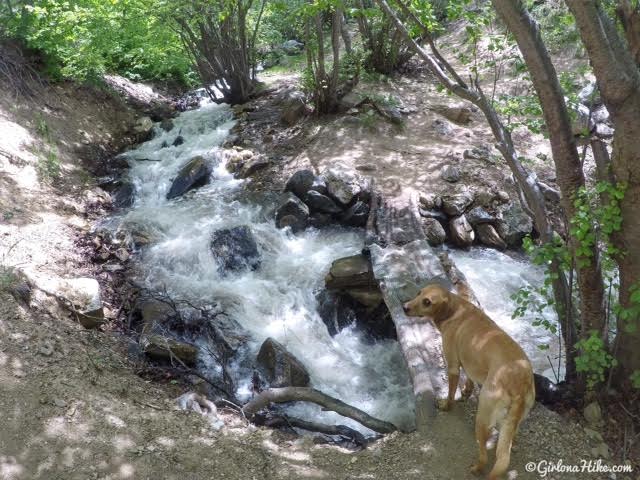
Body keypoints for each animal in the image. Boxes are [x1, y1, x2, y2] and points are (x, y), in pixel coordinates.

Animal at [404, 284, 536, 480]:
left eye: (427, 302)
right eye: (419, 293)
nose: (404, 307)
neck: (455, 310)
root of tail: (519, 382)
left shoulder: (452, 365)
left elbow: (451, 393)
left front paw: (446, 405)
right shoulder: (467, 362)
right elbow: (470, 378)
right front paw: (466, 391)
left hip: (482, 417)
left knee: (485, 455)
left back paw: (477, 468)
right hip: (514, 419)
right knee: (509, 441)